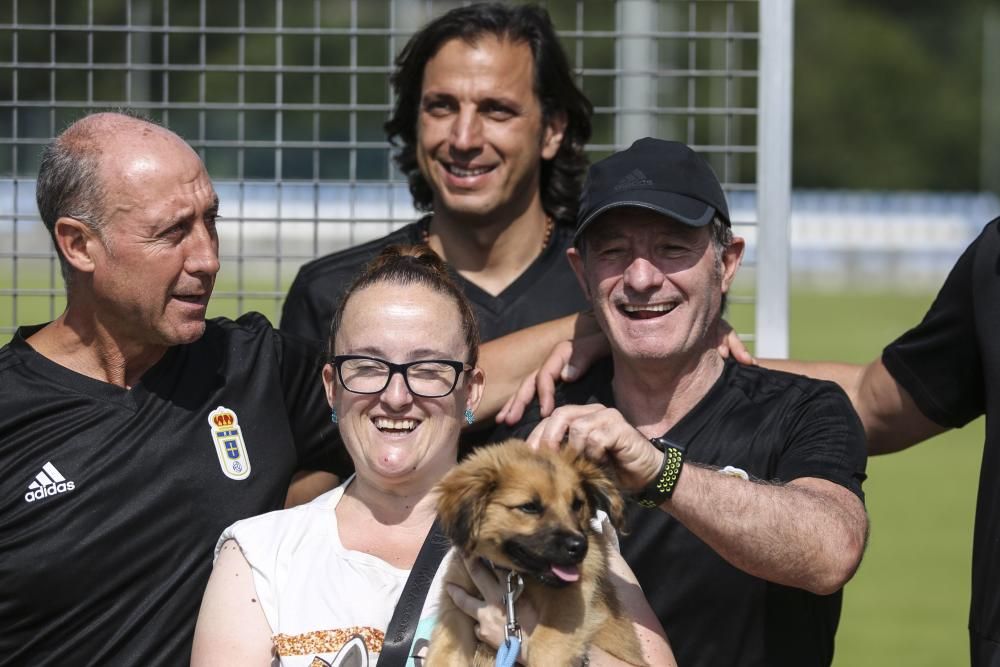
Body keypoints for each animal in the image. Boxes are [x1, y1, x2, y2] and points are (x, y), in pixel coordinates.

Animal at [424, 440, 644, 664]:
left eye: (577, 504)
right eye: (529, 507)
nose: (580, 547)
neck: (512, 574)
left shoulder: (572, 595)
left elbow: (546, 648)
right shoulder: (454, 610)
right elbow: (443, 654)